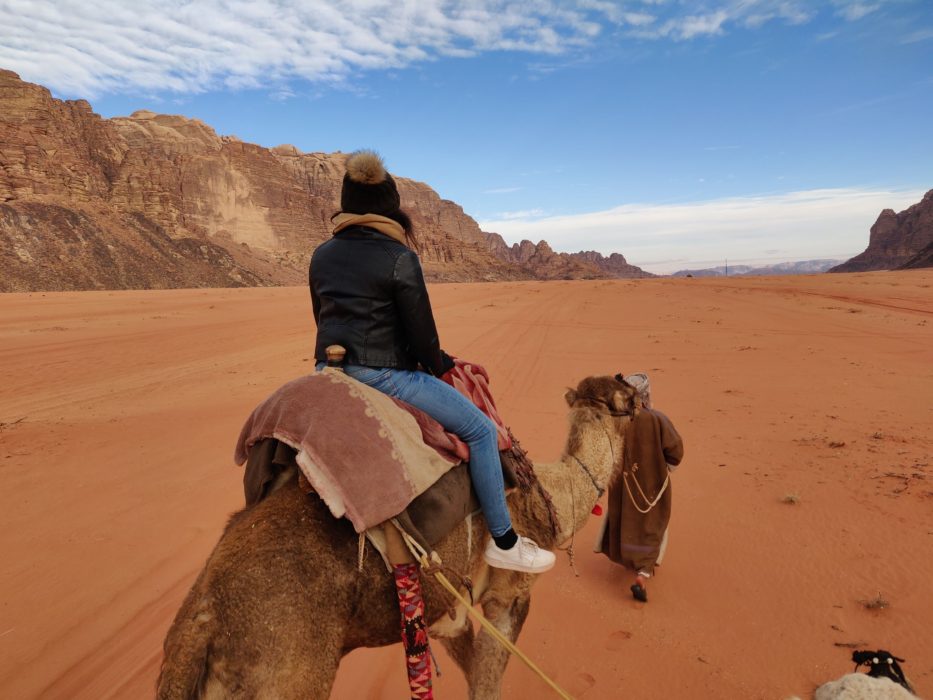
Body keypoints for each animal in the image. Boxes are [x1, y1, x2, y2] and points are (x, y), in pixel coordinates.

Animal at [157, 374, 636, 696]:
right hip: (284, 672)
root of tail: (199, 627)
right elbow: (487, 683)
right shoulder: (508, 597)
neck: (551, 497)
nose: (640, 380)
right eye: (630, 398)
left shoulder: (447, 613)